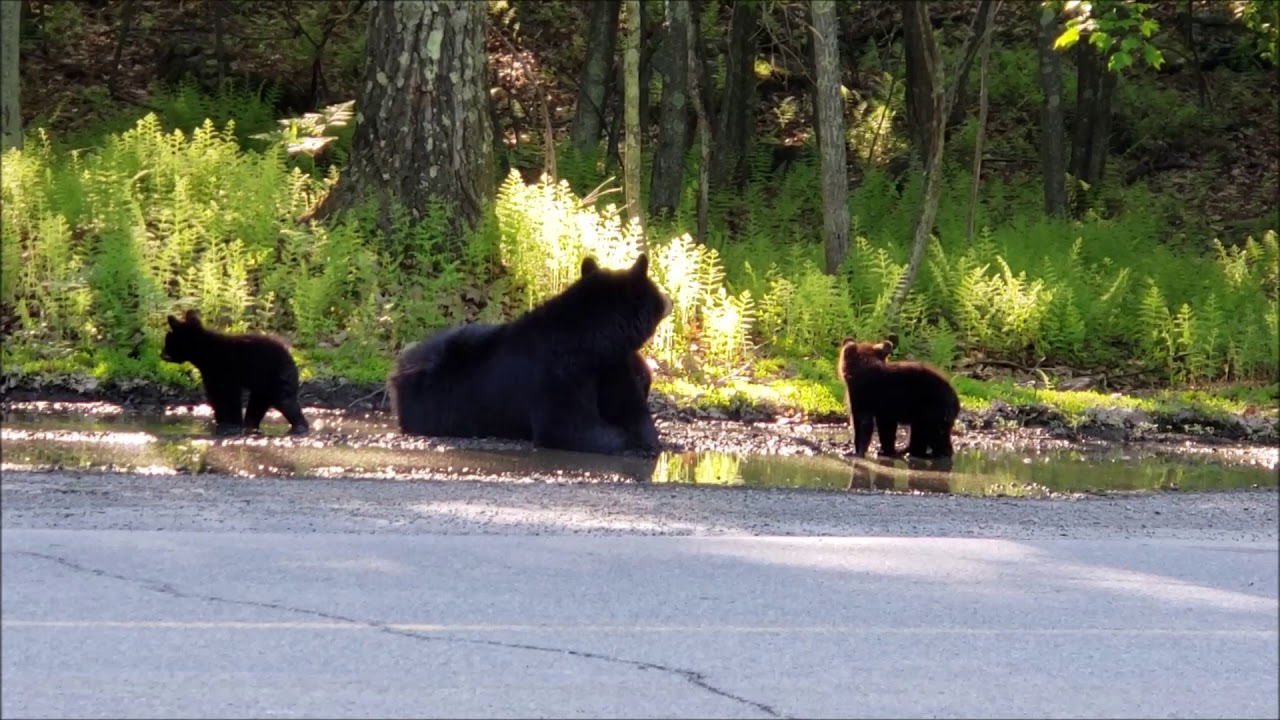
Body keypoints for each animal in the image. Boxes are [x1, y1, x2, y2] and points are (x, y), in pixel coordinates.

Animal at [161, 309, 310, 437]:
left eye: (168, 340)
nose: (161, 354)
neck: (204, 354)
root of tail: (291, 358)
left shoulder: (224, 371)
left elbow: (227, 397)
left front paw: (228, 425)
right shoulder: (212, 374)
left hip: (277, 377)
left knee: (285, 401)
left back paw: (299, 427)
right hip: (263, 387)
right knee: (257, 405)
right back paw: (250, 427)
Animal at [389, 254, 671, 455]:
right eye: (657, 289)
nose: (670, 299)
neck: (594, 344)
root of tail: (397, 370)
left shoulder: (611, 367)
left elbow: (629, 405)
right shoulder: (560, 377)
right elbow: (569, 427)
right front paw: (629, 442)